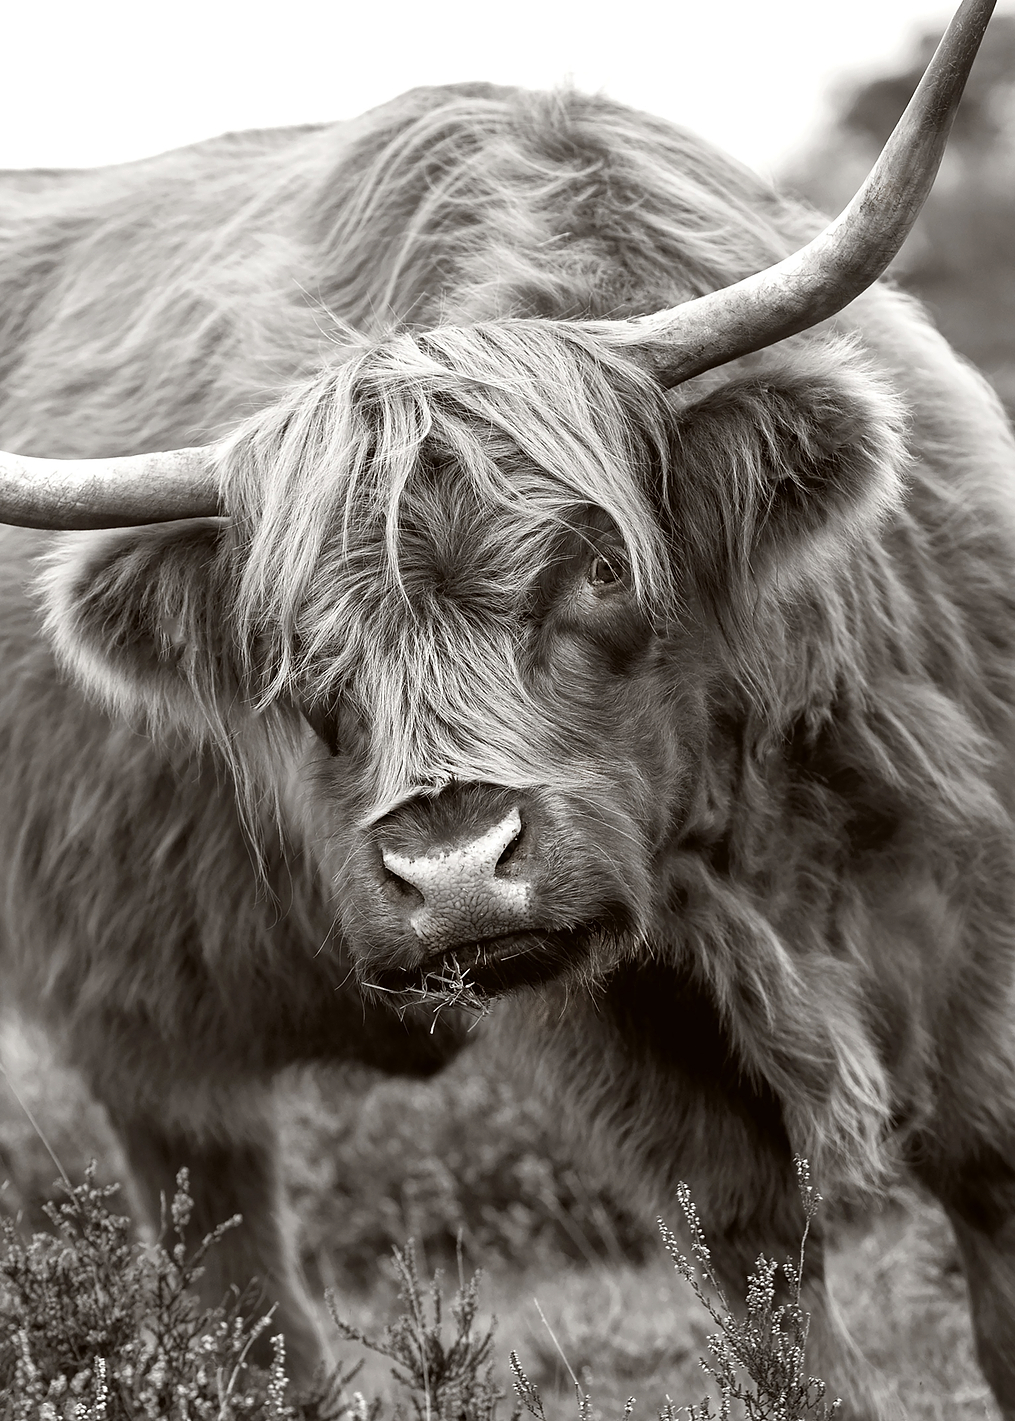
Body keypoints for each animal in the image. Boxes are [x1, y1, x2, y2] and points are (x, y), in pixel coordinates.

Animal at [0, 0, 1011, 1414]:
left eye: (596, 568)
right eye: (295, 649)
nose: (455, 869)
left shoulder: (969, 901)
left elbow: (988, 1188)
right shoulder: (633, 1033)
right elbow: (763, 1282)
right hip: (135, 1015)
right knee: (231, 1260)